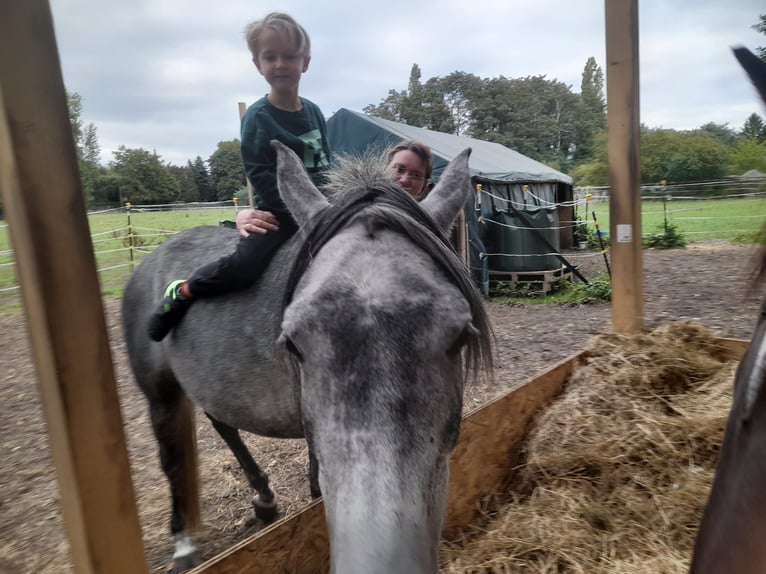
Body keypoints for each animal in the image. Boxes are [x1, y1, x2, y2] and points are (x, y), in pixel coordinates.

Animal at [121, 141, 494, 573]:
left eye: (460, 337)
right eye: (293, 344)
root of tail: (149, 261)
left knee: (222, 423)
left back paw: (264, 500)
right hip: (160, 394)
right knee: (172, 457)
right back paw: (183, 544)